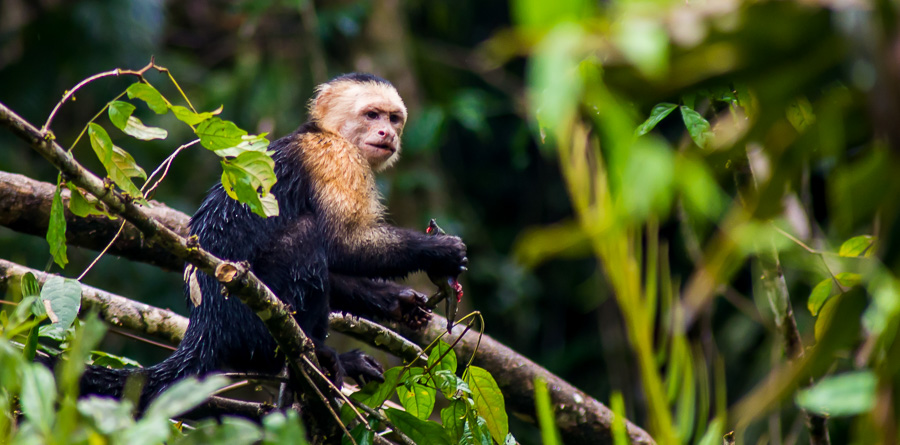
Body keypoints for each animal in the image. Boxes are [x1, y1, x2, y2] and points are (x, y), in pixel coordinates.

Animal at [78, 72, 468, 406]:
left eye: (394, 118)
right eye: (372, 115)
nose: (387, 133)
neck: (329, 133)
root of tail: (204, 328)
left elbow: (337, 265)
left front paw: (400, 302)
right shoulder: (336, 158)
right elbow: (340, 244)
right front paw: (439, 251)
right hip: (245, 323)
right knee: (306, 236)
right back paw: (312, 354)